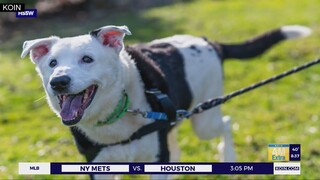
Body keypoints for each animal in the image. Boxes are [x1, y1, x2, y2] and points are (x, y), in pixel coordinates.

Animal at [20, 25, 310, 179]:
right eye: (52, 63)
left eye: (87, 59)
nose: (58, 82)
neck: (117, 110)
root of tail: (209, 42)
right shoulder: (98, 166)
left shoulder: (157, 159)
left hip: (205, 119)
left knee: (225, 123)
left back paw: (228, 157)